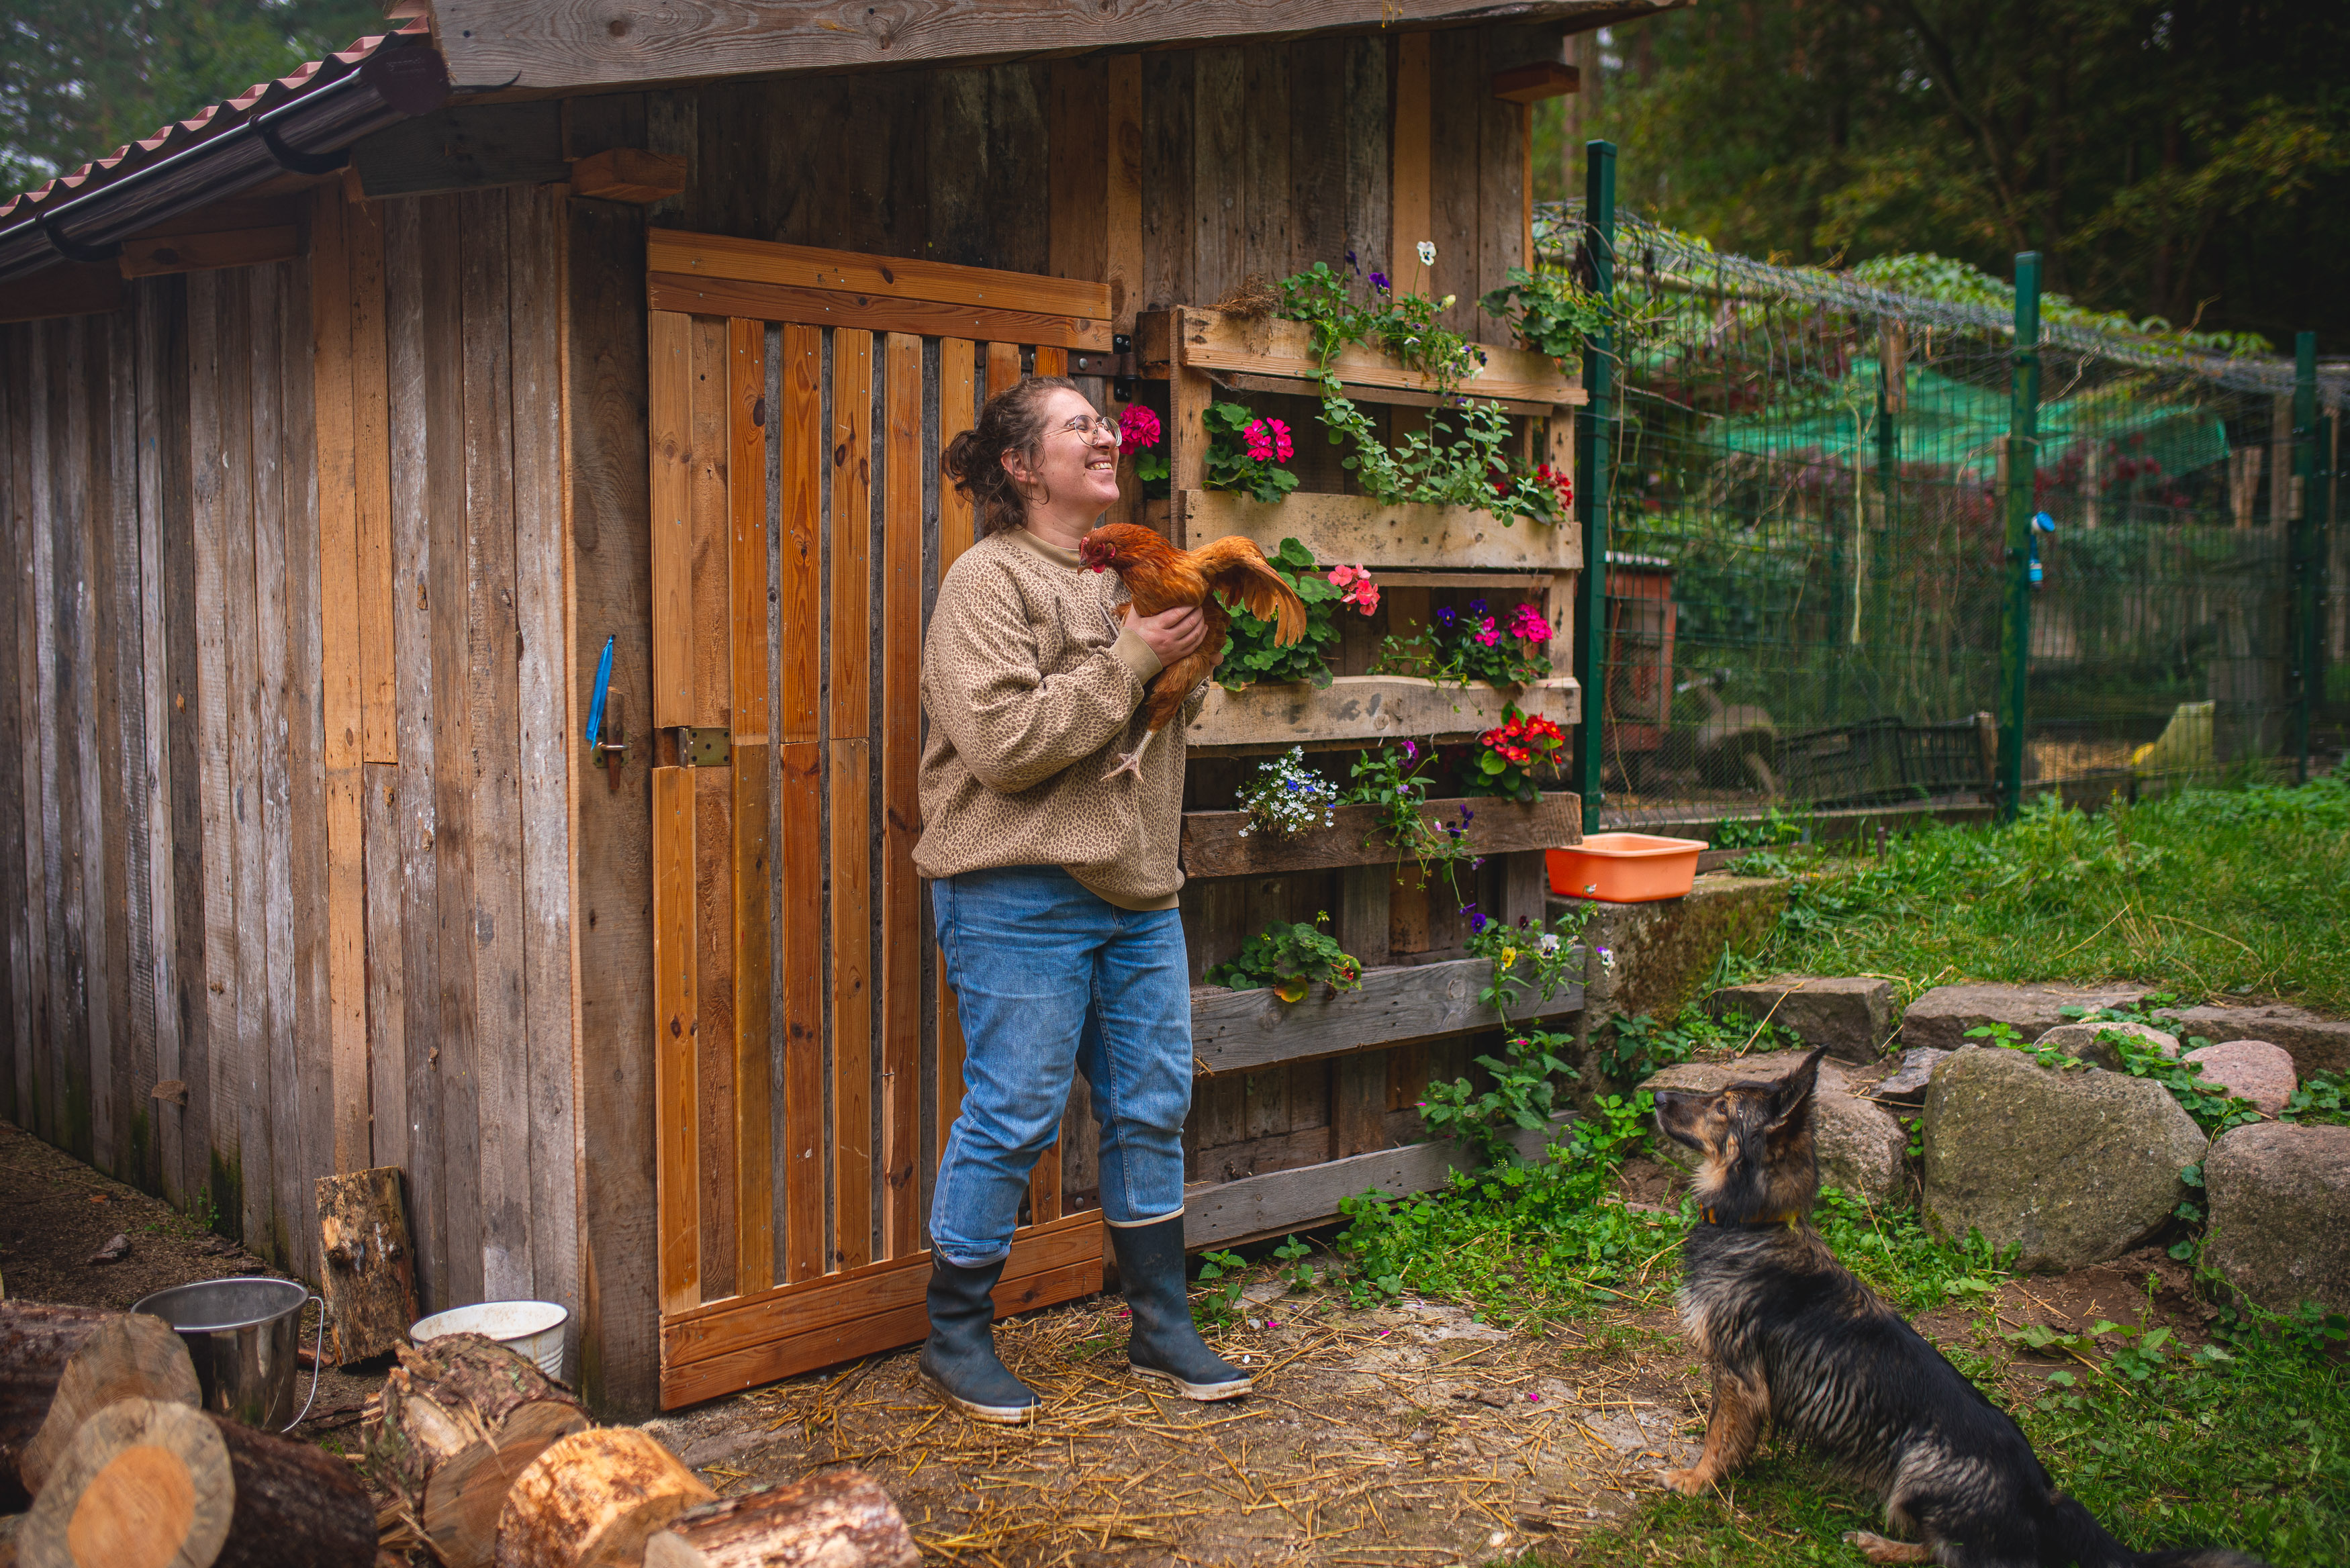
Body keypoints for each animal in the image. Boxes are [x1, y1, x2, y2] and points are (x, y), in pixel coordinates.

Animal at [1645, 1048, 2265, 1568]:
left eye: (1721, 1107)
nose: (1656, 1096)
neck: (1755, 1226)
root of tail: (2041, 1499)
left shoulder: (1740, 1374)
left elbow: (1721, 1436)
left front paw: (1697, 1480)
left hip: (1917, 1469)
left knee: (1947, 1554)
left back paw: (1878, 1544)